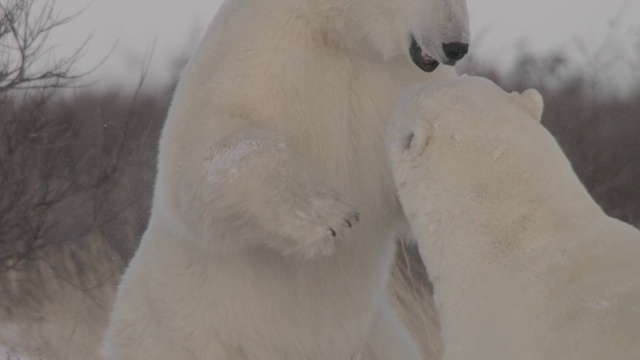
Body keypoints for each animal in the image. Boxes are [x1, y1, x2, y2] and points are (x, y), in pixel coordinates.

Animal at [102, 0, 468, 358]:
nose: (457, 46)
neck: (343, 35)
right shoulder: (260, 49)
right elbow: (202, 151)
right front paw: (329, 217)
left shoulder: (395, 79)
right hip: (186, 331)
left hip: (374, 339)